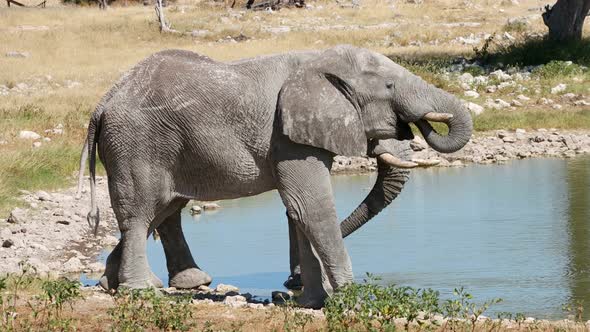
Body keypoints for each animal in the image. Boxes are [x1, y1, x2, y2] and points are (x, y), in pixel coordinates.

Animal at [84, 44, 472, 308]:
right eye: (390, 87)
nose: (289, 279)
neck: (317, 59)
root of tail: (103, 102)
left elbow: (299, 210)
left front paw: (312, 302)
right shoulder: (286, 136)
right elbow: (310, 207)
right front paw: (353, 300)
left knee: (164, 208)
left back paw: (116, 283)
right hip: (136, 143)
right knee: (140, 212)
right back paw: (140, 290)